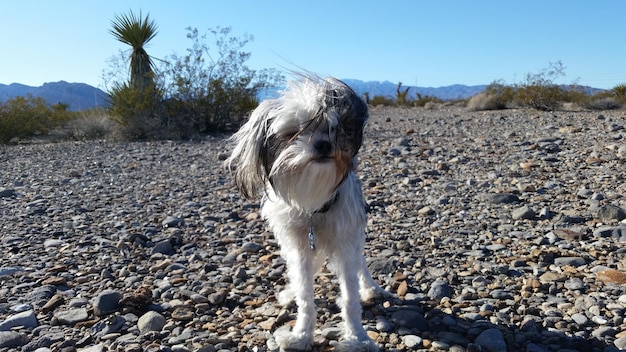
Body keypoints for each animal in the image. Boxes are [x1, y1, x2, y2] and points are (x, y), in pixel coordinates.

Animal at [224, 75, 380, 350]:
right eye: (293, 132)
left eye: (333, 128)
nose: (323, 144)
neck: (314, 209)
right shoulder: (299, 248)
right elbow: (306, 295)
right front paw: (301, 335)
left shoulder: (345, 243)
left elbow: (349, 297)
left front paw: (357, 337)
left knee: (361, 263)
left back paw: (369, 288)